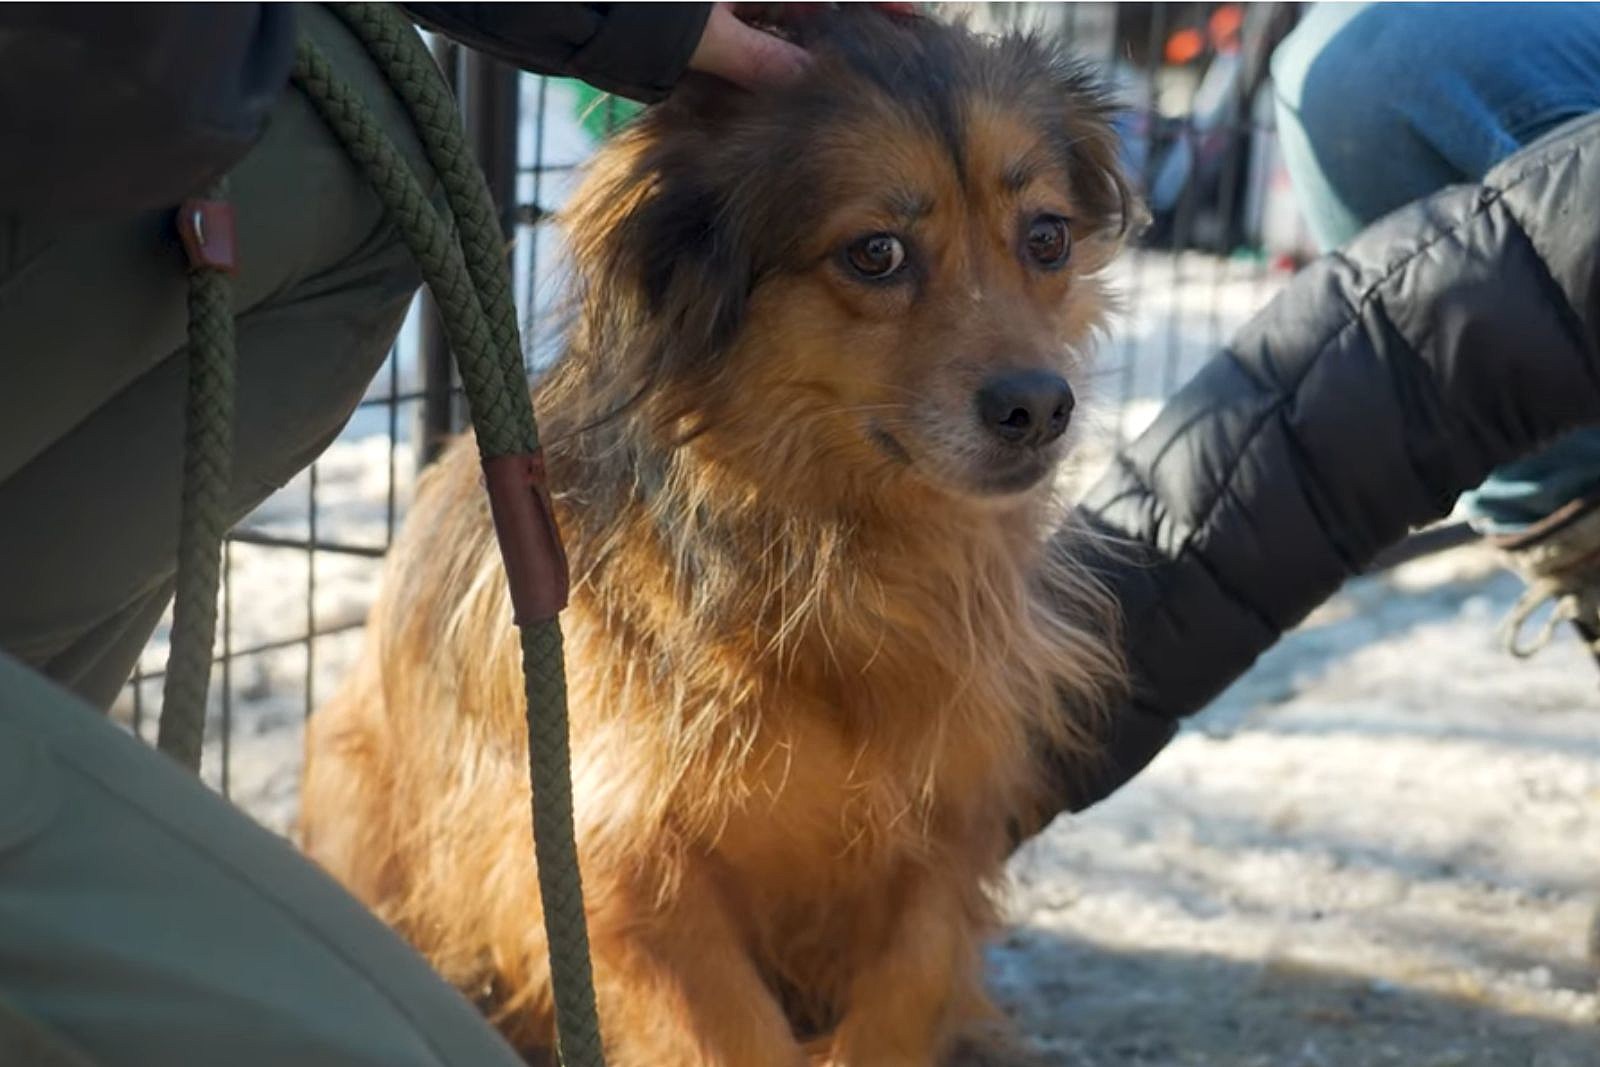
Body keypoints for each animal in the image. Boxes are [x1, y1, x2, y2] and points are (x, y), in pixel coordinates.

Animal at [302, 10, 1139, 1067]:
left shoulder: (948, 829)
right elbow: (731, 1032)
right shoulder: (616, 863)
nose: (1040, 407)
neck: (840, 558)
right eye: (876, 253)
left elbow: (910, 984)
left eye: (1047, 236)